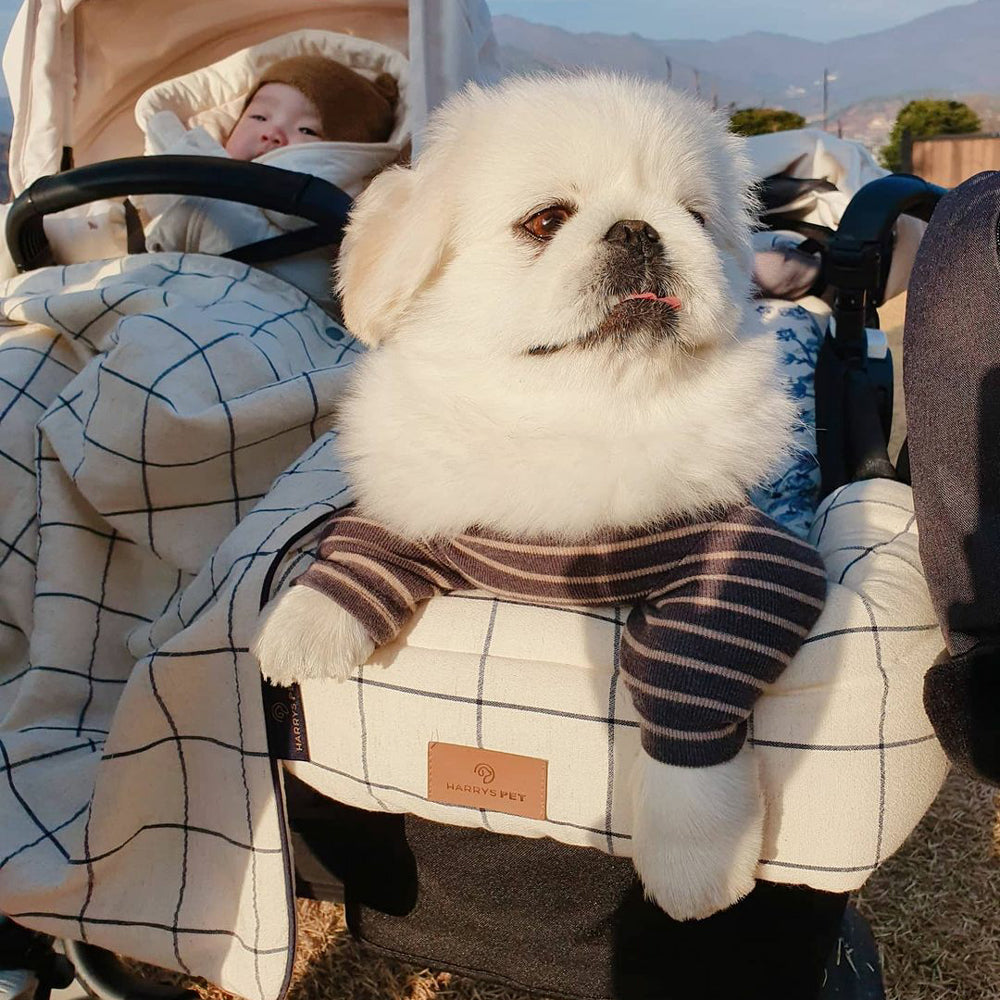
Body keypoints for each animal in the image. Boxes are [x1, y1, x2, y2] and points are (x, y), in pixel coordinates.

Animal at [256, 72, 796, 920]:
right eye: (545, 222)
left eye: (698, 219)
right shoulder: (426, 508)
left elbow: (689, 702)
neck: (578, 412)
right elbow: (364, 544)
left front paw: (697, 863)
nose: (641, 230)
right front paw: (304, 625)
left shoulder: (751, 569)